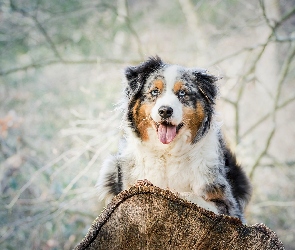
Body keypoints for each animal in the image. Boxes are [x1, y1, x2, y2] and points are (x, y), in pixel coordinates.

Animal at [97, 56, 252, 223]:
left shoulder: (229, 205)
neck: (167, 152)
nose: (165, 111)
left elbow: (189, 196)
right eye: (155, 91)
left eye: (182, 93)